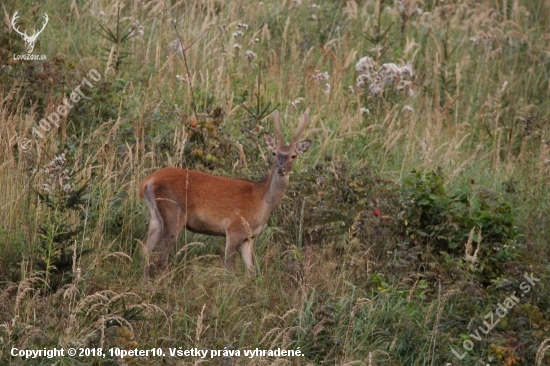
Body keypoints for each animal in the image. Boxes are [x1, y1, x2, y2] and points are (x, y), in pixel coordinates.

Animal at [140, 110, 312, 274]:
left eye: (293, 156)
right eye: (274, 153)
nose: (281, 167)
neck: (262, 200)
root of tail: (148, 180)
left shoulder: (249, 237)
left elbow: (251, 271)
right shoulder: (234, 229)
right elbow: (230, 268)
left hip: (155, 215)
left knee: (144, 248)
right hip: (174, 211)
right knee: (160, 255)